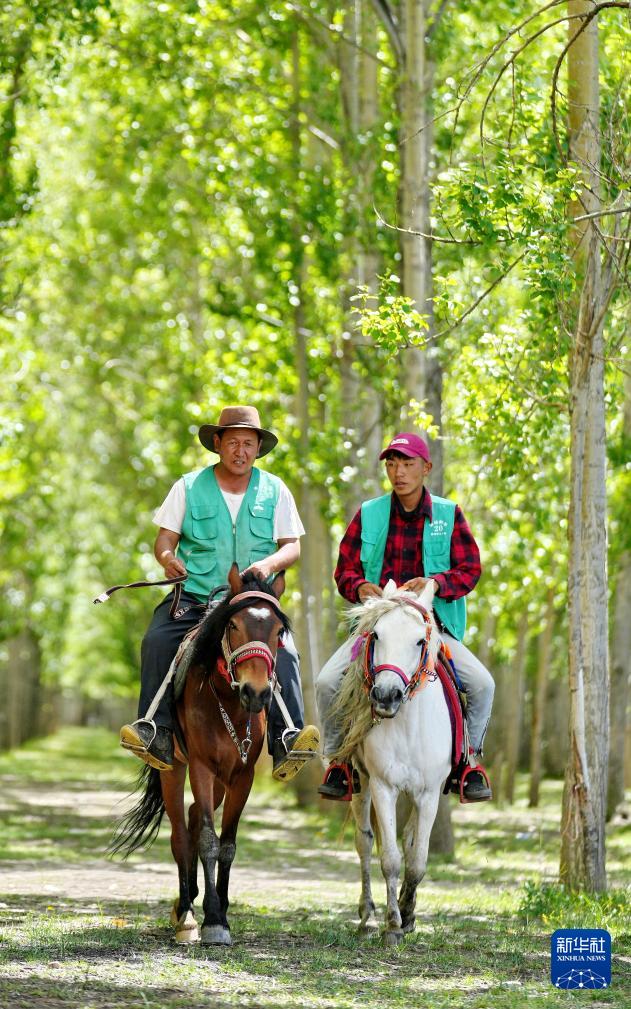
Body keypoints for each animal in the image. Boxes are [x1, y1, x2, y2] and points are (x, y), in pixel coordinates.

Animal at [112, 569, 288, 944]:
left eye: (279, 631)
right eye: (233, 625)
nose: (256, 693)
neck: (228, 701)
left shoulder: (242, 775)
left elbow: (228, 844)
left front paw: (221, 910)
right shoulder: (201, 766)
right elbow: (208, 840)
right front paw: (213, 921)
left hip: (221, 778)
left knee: (193, 817)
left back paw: (193, 898)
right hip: (175, 769)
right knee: (181, 833)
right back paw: (186, 914)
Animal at [333, 585, 450, 944]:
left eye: (420, 641)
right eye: (376, 635)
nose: (386, 696)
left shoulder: (429, 793)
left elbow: (417, 860)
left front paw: (409, 914)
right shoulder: (383, 786)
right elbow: (391, 859)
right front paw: (393, 924)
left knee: (410, 839)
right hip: (360, 783)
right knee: (365, 841)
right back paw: (367, 914)